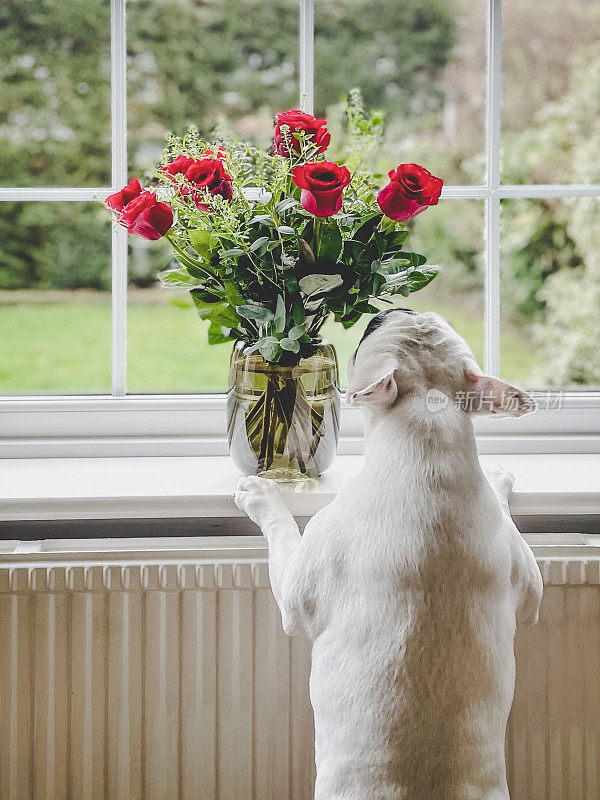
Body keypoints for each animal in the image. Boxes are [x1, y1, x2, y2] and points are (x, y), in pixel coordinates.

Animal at [234, 310, 544, 796]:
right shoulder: (530, 587)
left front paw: (264, 495)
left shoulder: (294, 590)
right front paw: (499, 478)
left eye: (372, 334)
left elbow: (282, 528)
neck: (430, 426)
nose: (389, 310)